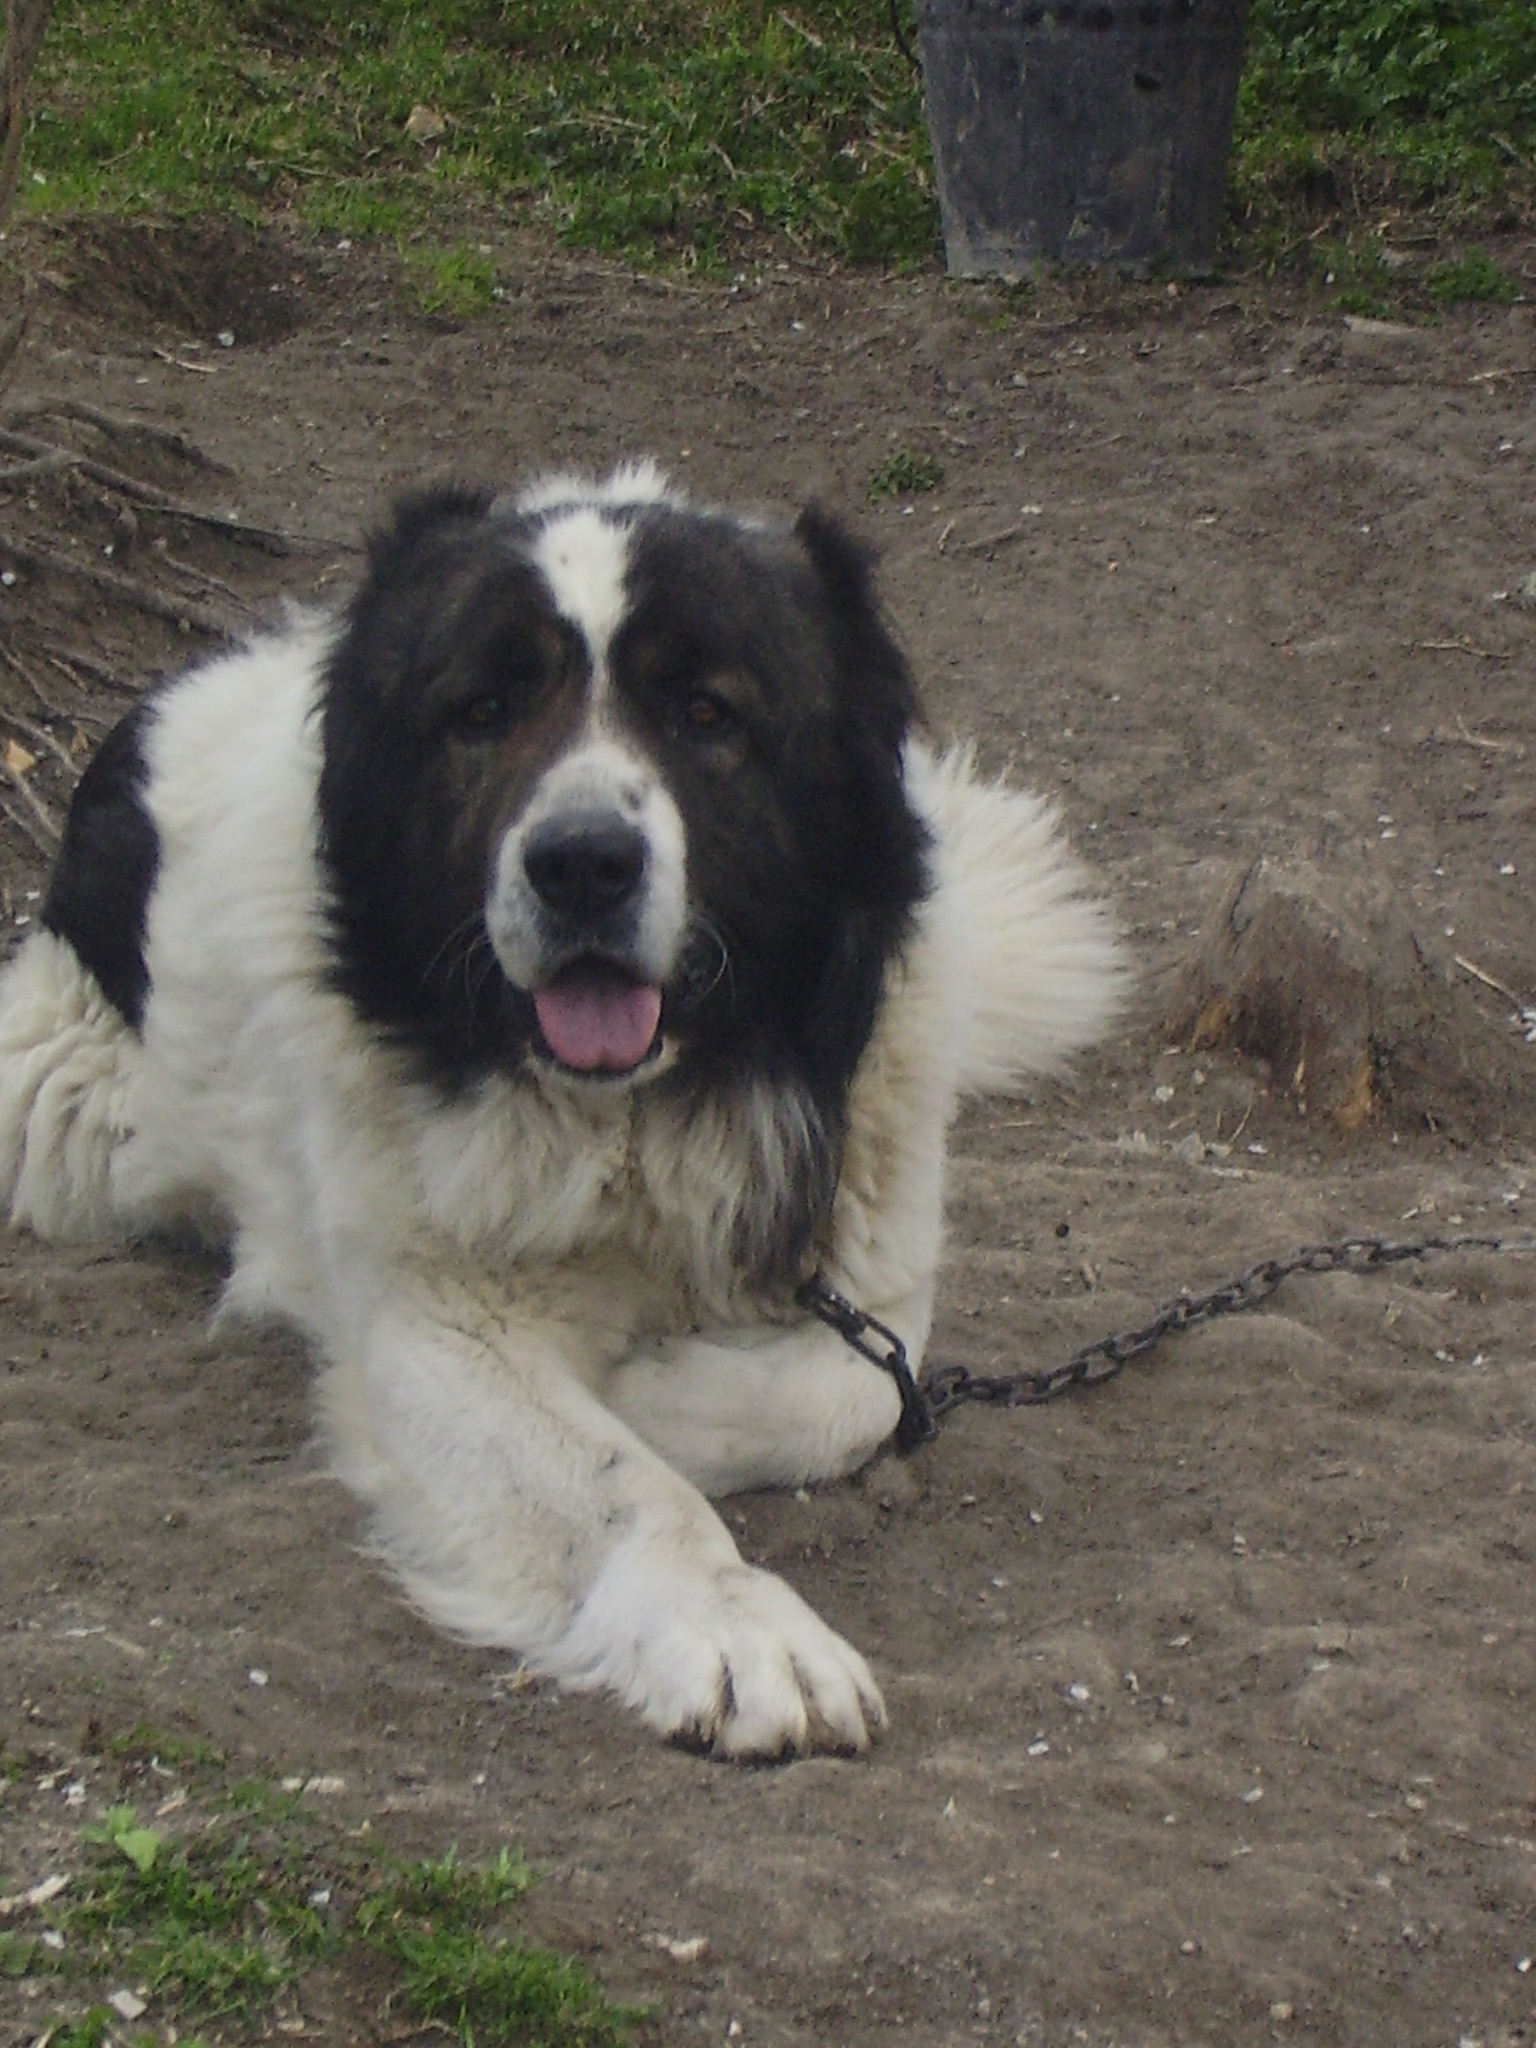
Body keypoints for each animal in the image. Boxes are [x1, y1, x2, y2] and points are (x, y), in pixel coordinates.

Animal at [0, 464, 1121, 1757]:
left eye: (705, 712)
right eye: (483, 709)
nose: (583, 862)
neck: (640, 1120)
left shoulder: (875, 1264)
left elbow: (856, 1391)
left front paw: (647, 1389)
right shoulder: (441, 1325)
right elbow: (626, 1485)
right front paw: (741, 1625)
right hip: (72, 1095)